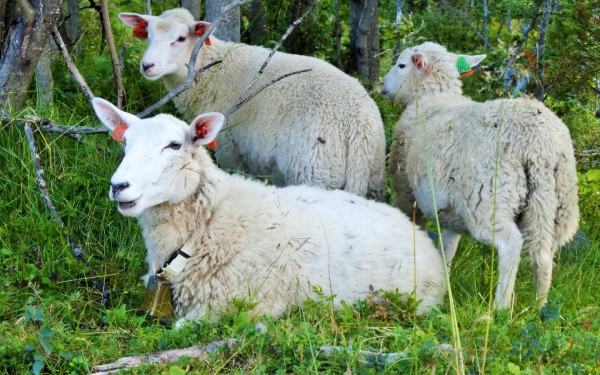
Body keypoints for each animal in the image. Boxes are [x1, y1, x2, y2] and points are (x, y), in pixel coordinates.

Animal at [90, 98, 446, 324]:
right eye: (126, 142)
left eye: (174, 145)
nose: (118, 186)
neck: (209, 222)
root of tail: (419, 234)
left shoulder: (242, 304)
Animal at [119, 8, 386, 201]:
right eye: (148, 36)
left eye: (181, 38)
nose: (147, 66)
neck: (211, 69)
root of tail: (359, 127)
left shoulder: (229, 148)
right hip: (372, 180)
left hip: (316, 172)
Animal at [382, 41, 580, 312]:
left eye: (401, 65)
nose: (383, 86)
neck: (432, 98)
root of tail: (539, 146)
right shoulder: (450, 208)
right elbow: (448, 248)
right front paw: (444, 279)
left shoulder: (406, 192)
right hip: (555, 205)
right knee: (543, 255)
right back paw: (539, 308)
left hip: (491, 198)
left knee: (511, 245)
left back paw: (500, 308)